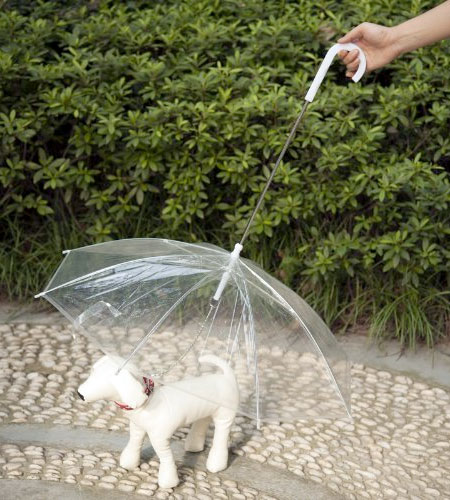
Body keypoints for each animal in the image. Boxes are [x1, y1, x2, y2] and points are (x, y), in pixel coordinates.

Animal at [77, 356, 239, 488]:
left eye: (102, 381)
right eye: (92, 373)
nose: (80, 394)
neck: (147, 403)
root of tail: (226, 377)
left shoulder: (159, 438)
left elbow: (165, 457)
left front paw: (169, 482)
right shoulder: (137, 428)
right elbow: (134, 443)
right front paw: (129, 463)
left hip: (225, 415)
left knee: (221, 434)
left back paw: (216, 464)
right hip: (205, 412)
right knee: (202, 423)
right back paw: (194, 446)